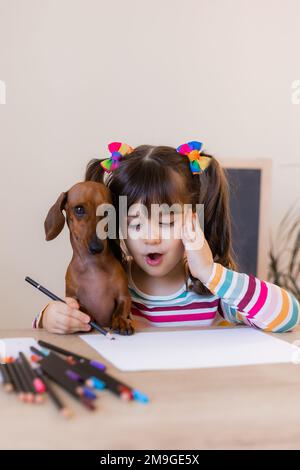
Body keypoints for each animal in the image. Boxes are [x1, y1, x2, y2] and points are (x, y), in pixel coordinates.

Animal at [43, 180, 134, 334]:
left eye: (107, 212)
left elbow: (121, 308)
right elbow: (79, 306)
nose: (96, 247)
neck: (93, 266)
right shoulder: (72, 296)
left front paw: (121, 320)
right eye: (79, 209)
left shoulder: (124, 296)